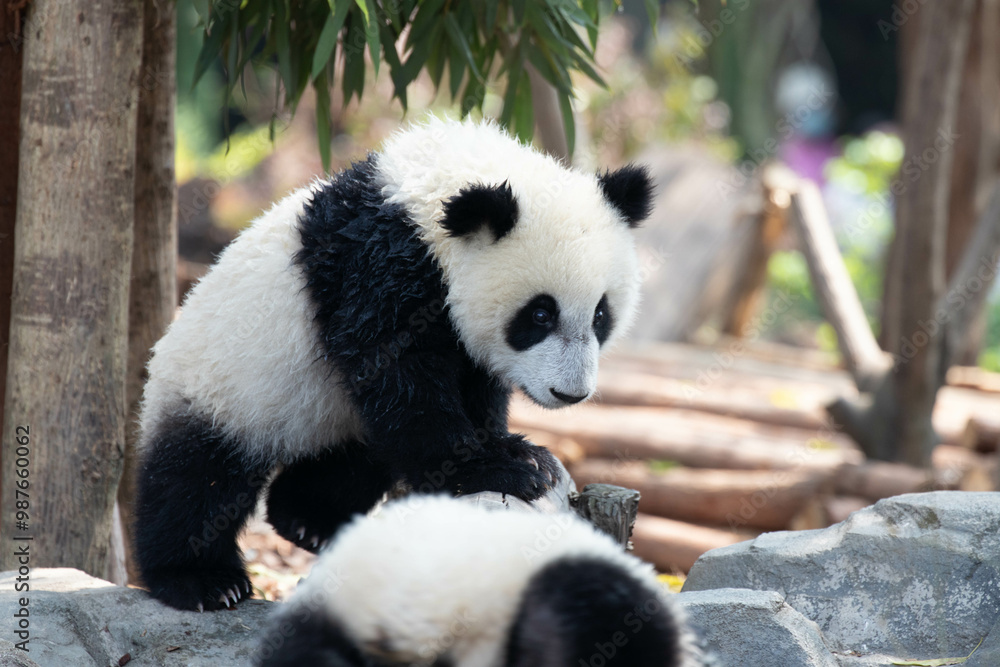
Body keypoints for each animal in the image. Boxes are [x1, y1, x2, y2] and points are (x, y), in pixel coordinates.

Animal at [133, 117, 654, 612]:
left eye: (601, 314)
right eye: (540, 314)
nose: (571, 393)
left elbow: (467, 385)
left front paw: (514, 449)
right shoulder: (376, 269)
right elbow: (402, 379)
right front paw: (504, 468)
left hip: (330, 412)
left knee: (358, 455)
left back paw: (306, 520)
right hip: (221, 387)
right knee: (197, 479)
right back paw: (202, 580)